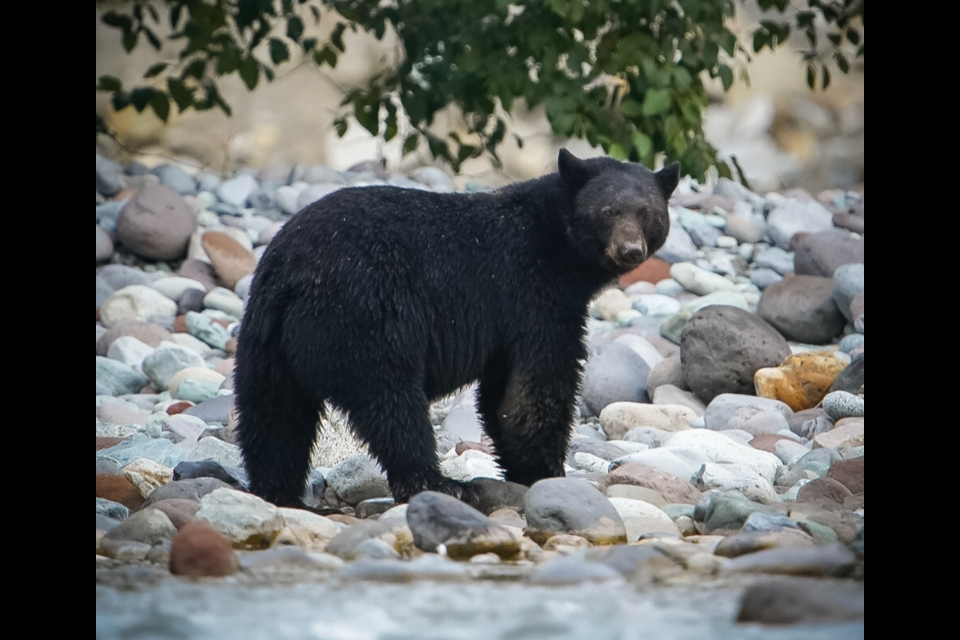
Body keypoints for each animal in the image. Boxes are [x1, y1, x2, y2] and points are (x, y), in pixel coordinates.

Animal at [235, 150, 680, 504]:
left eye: (648, 213)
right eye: (608, 211)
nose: (631, 249)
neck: (554, 240)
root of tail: (294, 276)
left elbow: (503, 394)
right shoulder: (533, 294)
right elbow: (538, 386)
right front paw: (547, 472)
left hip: (265, 336)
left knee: (272, 415)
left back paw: (276, 490)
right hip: (365, 318)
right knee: (391, 402)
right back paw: (439, 482)